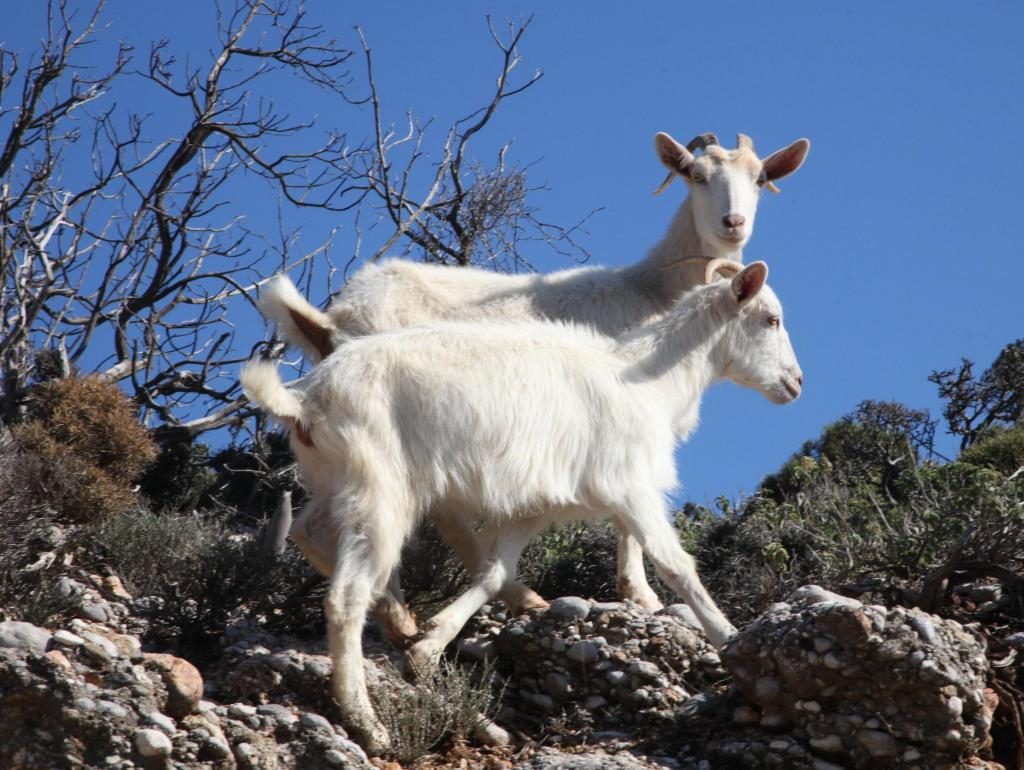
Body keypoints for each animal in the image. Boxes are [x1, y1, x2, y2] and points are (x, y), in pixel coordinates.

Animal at [243, 259, 802, 753]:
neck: (647, 380)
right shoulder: (631, 489)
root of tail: (305, 400)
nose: (796, 383)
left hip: (336, 479)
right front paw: (731, 639)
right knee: (344, 597)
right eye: (771, 319)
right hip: (380, 488)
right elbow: (677, 565)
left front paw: (429, 647)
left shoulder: (534, 504)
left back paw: (397, 619)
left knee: (309, 532)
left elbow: (493, 571)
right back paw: (367, 722)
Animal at [262, 132, 806, 634]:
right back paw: (449, 607)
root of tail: (328, 320)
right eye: (696, 175)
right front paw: (641, 593)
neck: (652, 291)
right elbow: (630, 519)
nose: (732, 224)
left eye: (760, 178)